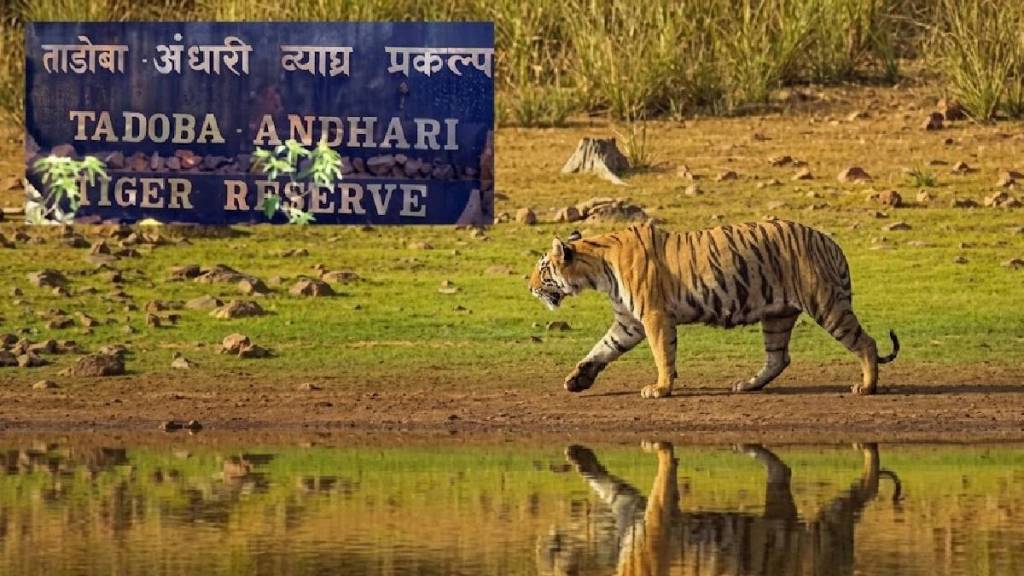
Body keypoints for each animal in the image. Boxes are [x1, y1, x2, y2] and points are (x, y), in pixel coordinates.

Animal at [528, 219, 899, 398]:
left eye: (543, 268)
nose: (529, 287)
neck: (598, 268)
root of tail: (832, 242)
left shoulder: (653, 316)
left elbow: (663, 355)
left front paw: (661, 389)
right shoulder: (628, 322)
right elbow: (602, 348)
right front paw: (577, 379)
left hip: (825, 303)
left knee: (866, 343)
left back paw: (867, 387)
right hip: (777, 315)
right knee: (778, 358)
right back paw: (747, 385)